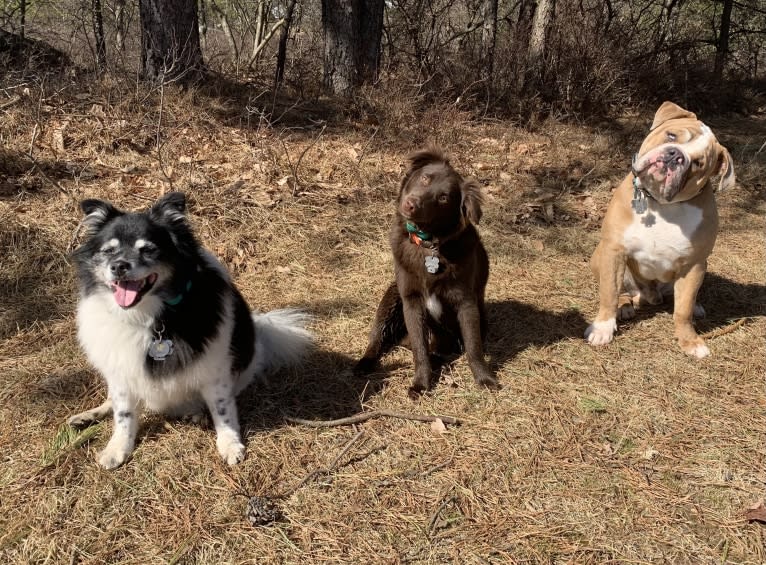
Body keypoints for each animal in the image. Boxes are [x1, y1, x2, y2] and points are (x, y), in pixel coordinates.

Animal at [69, 193, 312, 468]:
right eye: (109, 251)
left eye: (148, 249)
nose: (118, 266)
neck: (150, 316)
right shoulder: (122, 372)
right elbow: (124, 414)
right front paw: (118, 448)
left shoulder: (215, 370)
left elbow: (222, 411)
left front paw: (230, 444)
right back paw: (87, 416)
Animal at [354, 150, 498, 396]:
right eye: (425, 178)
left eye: (444, 198)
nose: (410, 204)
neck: (428, 245)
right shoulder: (411, 300)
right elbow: (420, 351)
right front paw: (421, 383)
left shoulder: (466, 303)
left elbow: (473, 347)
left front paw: (484, 378)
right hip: (391, 297)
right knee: (377, 338)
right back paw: (364, 363)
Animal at [588, 101, 736, 356]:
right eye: (671, 135)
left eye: (698, 164)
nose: (675, 155)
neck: (661, 204)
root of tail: (649, 296)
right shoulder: (614, 251)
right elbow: (608, 294)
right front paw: (603, 328)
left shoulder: (694, 265)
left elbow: (682, 310)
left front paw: (690, 341)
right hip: (603, 258)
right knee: (622, 292)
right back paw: (625, 307)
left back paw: (695, 306)